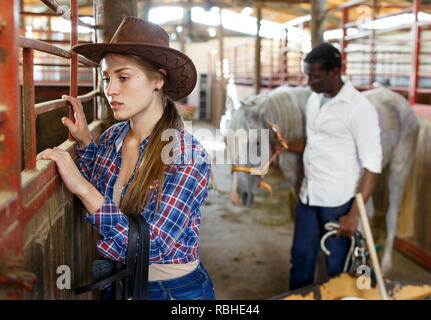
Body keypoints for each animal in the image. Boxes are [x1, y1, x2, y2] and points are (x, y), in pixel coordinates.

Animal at [228, 85, 420, 276]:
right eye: (228, 140)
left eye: (257, 142)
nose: (238, 196)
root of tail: (401, 102)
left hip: (398, 169)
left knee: (391, 216)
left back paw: (384, 266)